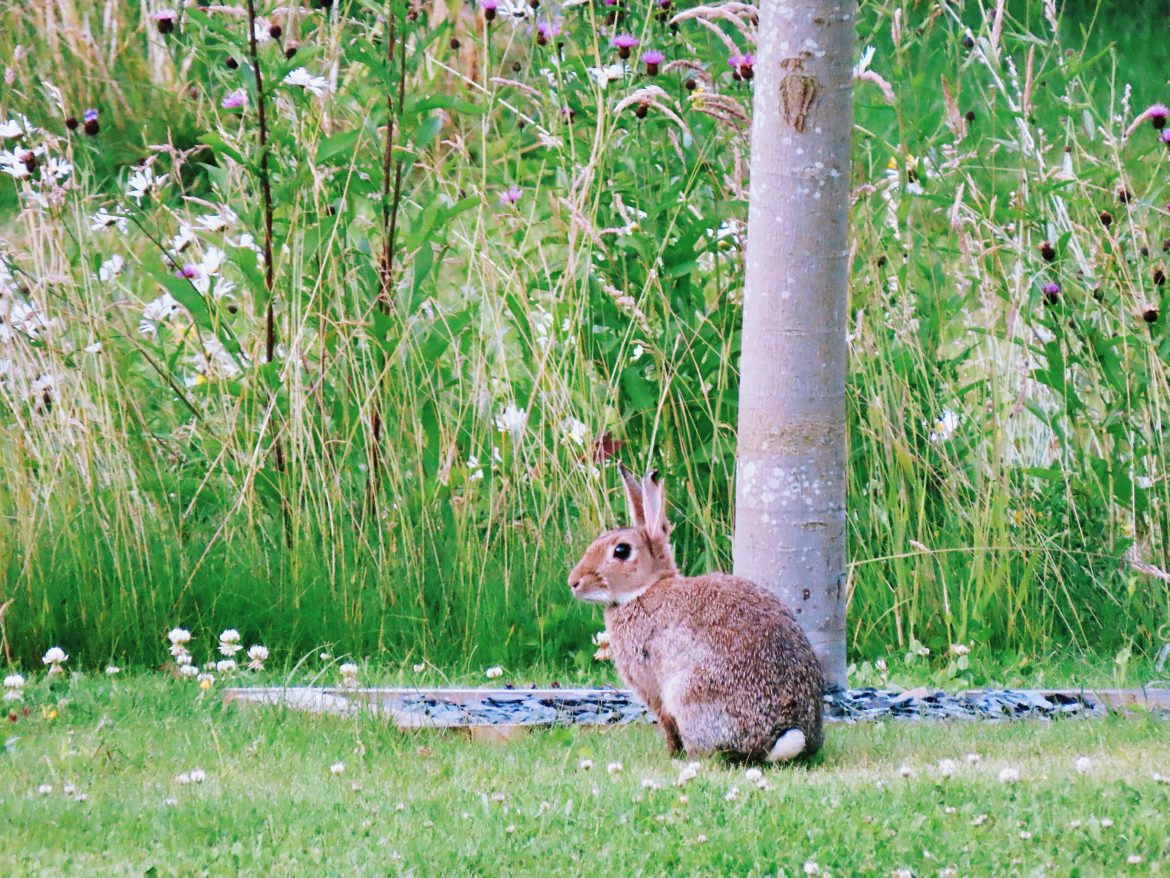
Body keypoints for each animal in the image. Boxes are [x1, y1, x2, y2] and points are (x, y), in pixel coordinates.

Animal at [567, 463, 823, 763]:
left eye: (621, 550)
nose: (574, 582)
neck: (645, 589)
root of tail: (778, 736)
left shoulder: (653, 685)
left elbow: (665, 722)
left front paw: (670, 754)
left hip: (689, 692)